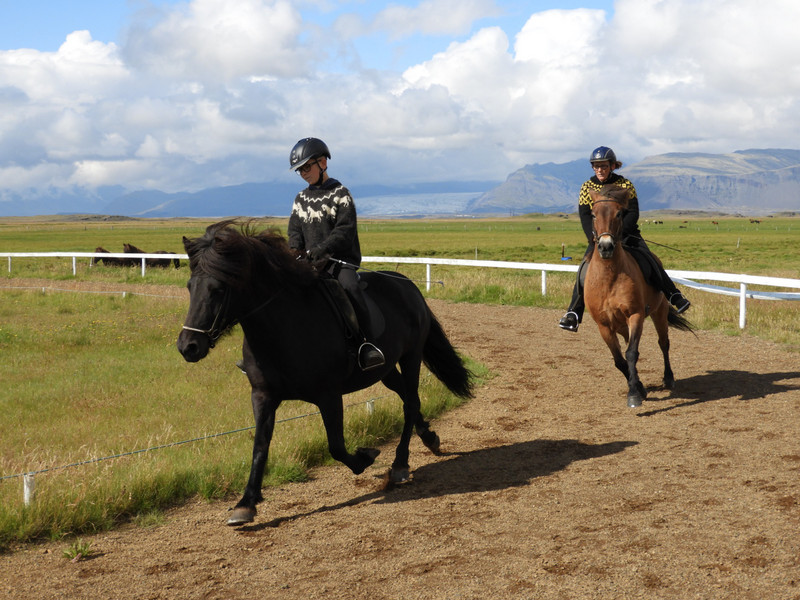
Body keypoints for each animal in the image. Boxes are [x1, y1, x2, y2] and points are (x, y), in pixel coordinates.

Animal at [177, 220, 476, 524]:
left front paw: (365, 457)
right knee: (406, 397)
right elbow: (260, 445)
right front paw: (246, 503)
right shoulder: (262, 395)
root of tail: (407, 285)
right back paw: (429, 438)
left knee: (411, 402)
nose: (188, 346)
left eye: (218, 289)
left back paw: (400, 464)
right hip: (386, 369)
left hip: (411, 356)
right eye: (190, 287)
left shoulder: (329, 396)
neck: (284, 328)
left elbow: (336, 446)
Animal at [580, 185, 692, 406]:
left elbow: (632, 354)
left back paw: (668, 378)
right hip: (621, 325)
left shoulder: (636, 315)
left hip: (659, 312)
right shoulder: (604, 325)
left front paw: (633, 394)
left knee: (663, 343)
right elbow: (619, 360)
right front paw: (638, 387)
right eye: (593, 214)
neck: (609, 277)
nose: (606, 247)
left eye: (619, 213)